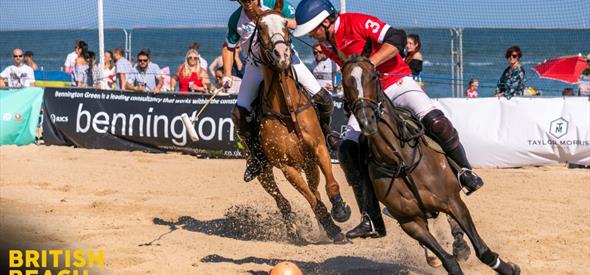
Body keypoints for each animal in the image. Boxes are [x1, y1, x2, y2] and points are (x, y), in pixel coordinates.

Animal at [246, 0, 352, 246]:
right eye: (260, 27)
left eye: (286, 24)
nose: (283, 54)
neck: (288, 109)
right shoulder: (288, 167)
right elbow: (312, 201)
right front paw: (333, 229)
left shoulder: (318, 148)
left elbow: (329, 185)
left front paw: (340, 211)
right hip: (264, 171)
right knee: (283, 201)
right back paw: (296, 232)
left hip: (309, 163)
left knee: (316, 192)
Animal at [338, 48, 524, 274]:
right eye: (345, 82)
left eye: (373, 77)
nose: (366, 121)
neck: (400, 162)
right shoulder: (410, 222)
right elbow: (448, 261)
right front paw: (440, 257)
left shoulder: (453, 202)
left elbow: (483, 251)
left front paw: (509, 269)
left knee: (437, 122)